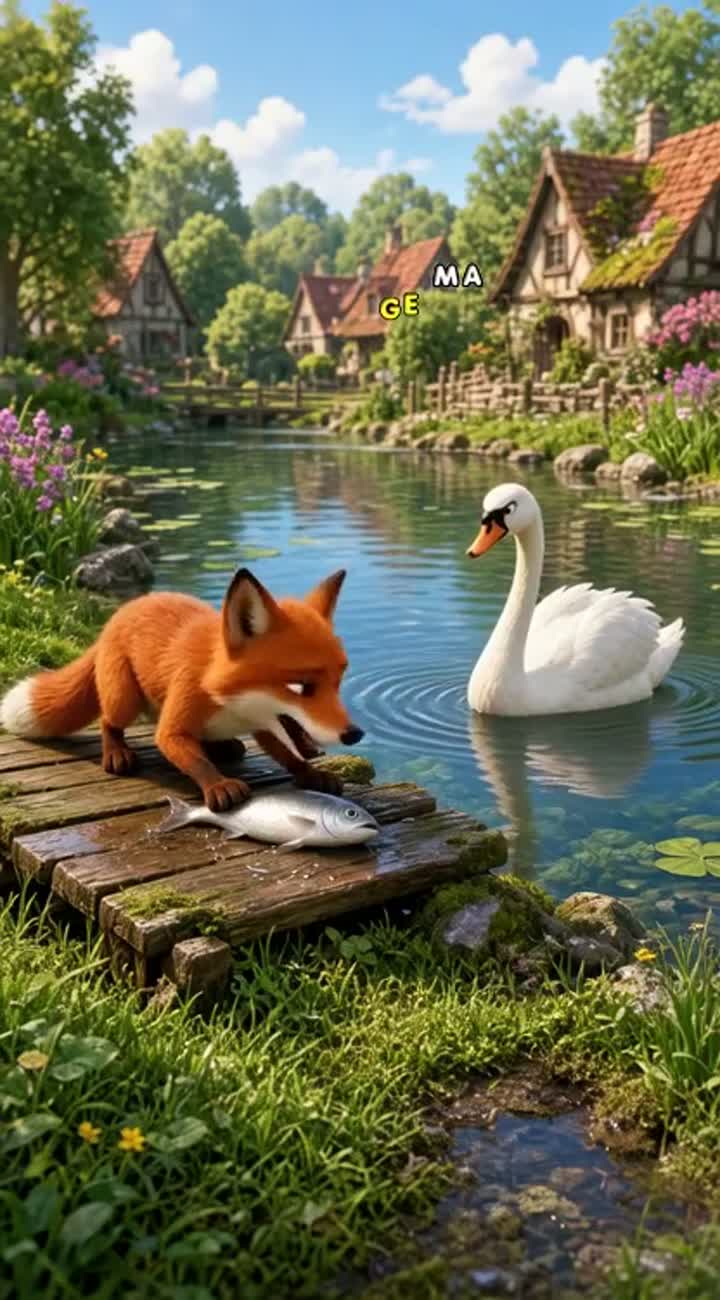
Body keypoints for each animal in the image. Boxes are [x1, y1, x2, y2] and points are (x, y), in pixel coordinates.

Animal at [0, 567, 365, 811]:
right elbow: (195, 760)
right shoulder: (174, 723)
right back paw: (116, 753)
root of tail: (120, 612)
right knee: (108, 720)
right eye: (300, 686)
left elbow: (288, 754)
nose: (354, 734)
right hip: (124, 698)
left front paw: (312, 774)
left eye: (338, 682)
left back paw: (224, 745)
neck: (230, 705)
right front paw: (219, 785)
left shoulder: (264, 724)